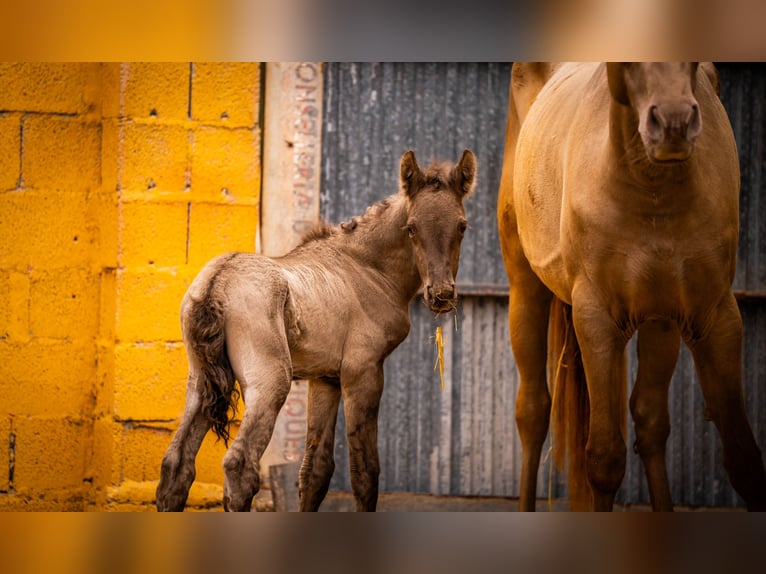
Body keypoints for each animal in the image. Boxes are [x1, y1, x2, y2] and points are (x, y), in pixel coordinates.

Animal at [158, 150, 474, 512]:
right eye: (411, 228)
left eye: (462, 226)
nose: (441, 294)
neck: (367, 268)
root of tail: (217, 282)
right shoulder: (362, 372)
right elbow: (365, 471)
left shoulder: (326, 378)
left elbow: (315, 469)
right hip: (271, 382)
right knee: (239, 466)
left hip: (199, 383)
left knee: (176, 464)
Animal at [500, 63, 766, 512]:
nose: (674, 123)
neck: (653, 189)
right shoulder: (597, 322)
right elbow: (605, 459)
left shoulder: (716, 319)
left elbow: (743, 458)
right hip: (525, 288)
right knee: (532, 411)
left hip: (662, 323)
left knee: (649, 421)